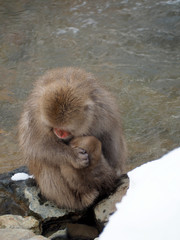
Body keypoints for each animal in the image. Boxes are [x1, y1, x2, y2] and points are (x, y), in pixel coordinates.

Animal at [18, 67, 126, 210]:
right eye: (54, 127)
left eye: (65, 130)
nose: (59, 134)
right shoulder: (35, 117)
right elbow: (38, 146)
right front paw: (73, 156)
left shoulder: (104, 112)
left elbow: (110, 135)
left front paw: (115, 170)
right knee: (46, 162)